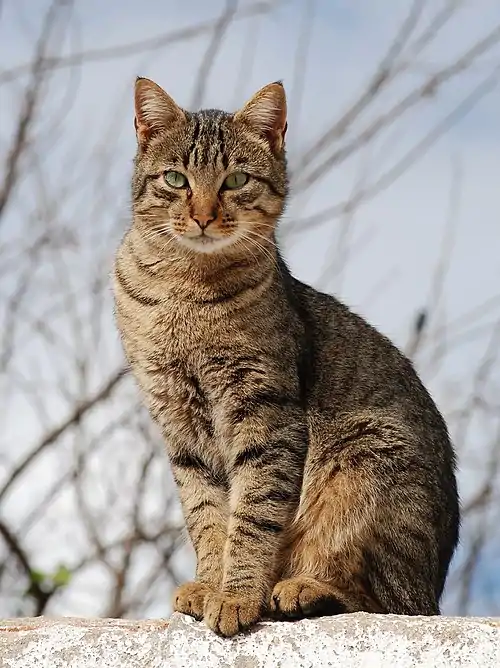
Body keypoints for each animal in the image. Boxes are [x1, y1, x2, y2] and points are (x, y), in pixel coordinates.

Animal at [114, 77, 460, 636]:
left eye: (235, 180)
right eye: (176, 179)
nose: (203, 216)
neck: (185, 288)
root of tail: (433, 586)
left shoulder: (265, 411)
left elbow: (252, 515)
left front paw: (236, 595)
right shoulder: (178, 422)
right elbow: (207, 514)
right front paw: (210, 585)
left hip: (367, 460)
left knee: (383, 599)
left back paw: (302, 589)